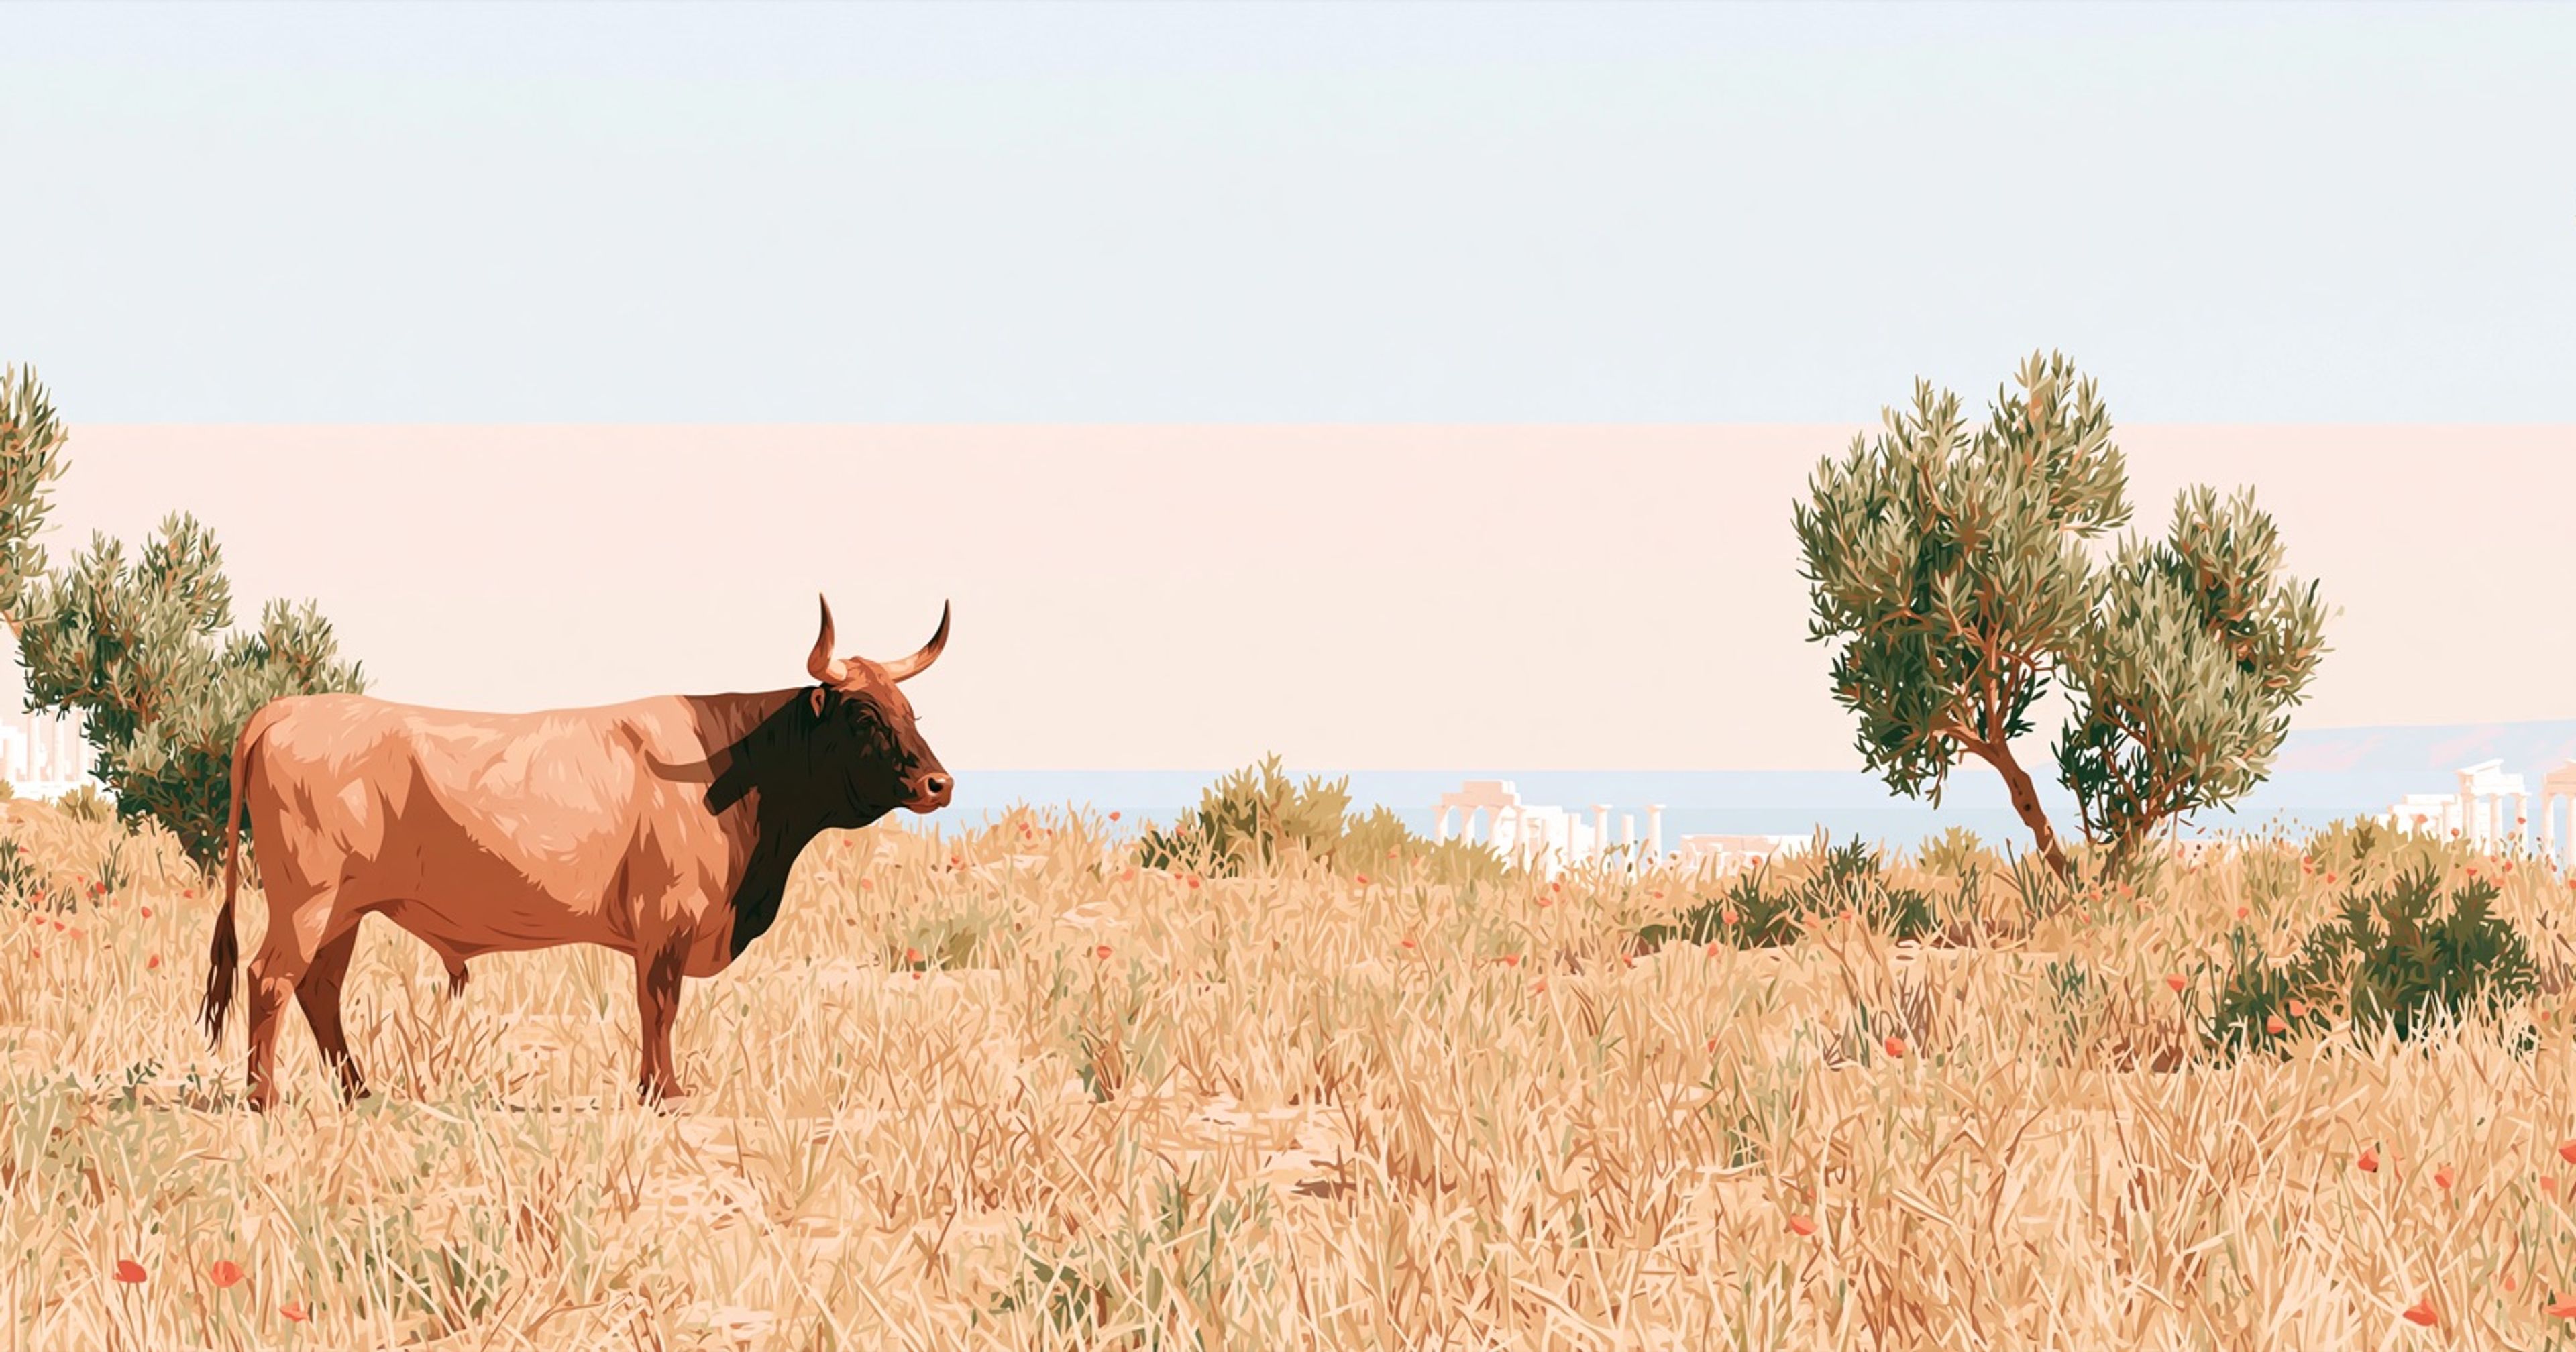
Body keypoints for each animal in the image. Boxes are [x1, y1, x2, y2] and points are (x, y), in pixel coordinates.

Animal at [198, 596, 953, 1112]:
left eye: (910, 710)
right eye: (863, 714)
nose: (939, 784)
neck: (735, 768)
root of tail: (282, 710)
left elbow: (655, 1007)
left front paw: (654, 1088)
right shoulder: (667, 918)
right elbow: (660, 1005)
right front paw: (666, 1093)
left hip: (345, 908)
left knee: (318, 988)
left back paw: (358, 1092)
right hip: (308, 899)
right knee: (271, 979)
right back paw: (265, 1099)